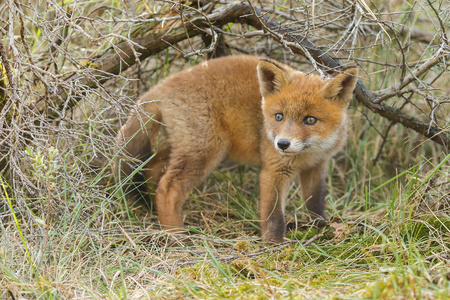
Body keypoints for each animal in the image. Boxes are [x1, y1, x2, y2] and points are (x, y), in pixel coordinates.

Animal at [116, 55, 358, 243]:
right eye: (279, 116)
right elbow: (273, 216)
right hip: (205, 150)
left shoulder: (317, 166)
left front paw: (323, 227)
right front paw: (274, 247)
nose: (282, 144)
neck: (308, 152)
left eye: (310, 120)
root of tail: (165, 84)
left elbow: (315, 202)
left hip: (183, 146)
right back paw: (177, 236)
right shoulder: (274, 169)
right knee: (167, 188)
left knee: (151, 168)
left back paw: (152, 210)